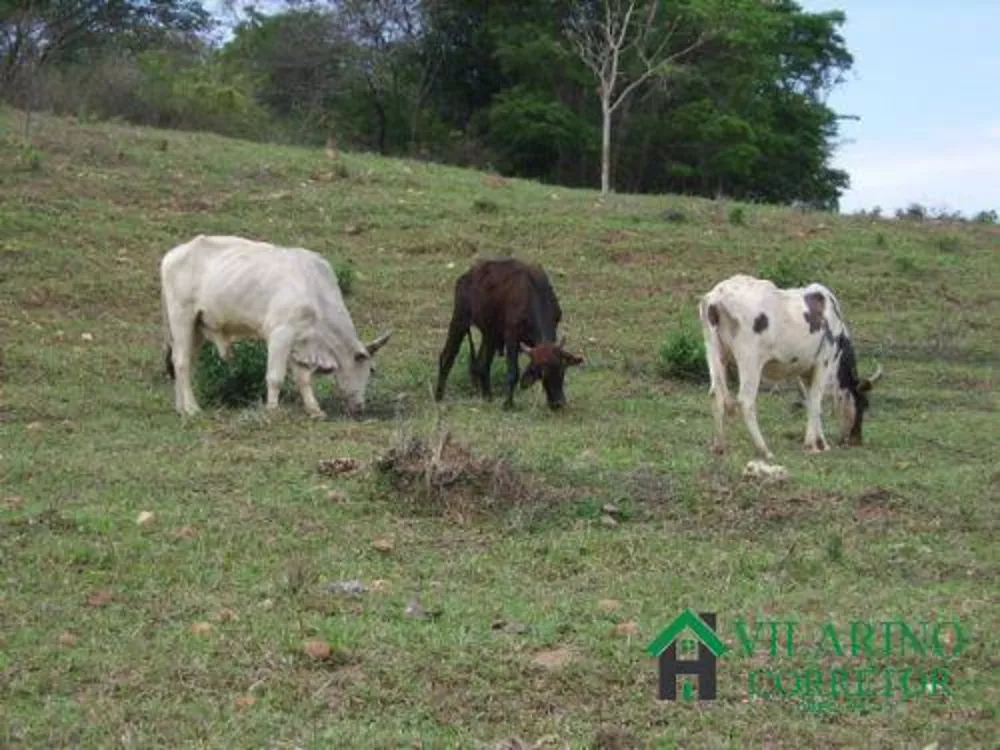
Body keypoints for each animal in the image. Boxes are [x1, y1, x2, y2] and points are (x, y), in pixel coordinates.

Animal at [160, 235, 390, 420]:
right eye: (370, 369)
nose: (360, 407)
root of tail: (172, 255)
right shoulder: (281, 334)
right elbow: (275, 377)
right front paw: (272, 409)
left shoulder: (299, 341)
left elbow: (303, 378)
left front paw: (314, 410)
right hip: (182, 318)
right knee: (181, 362)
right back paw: (192, 408)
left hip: (197, 328)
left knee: (184, 362)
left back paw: (181, 408)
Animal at [434, 258, 584, 412]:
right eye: (542, 374)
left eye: (562, 371)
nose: (558, 403)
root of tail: (466, 276)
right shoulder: (512, 337)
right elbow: (513, 373)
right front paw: (508, 404)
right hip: (460, 319)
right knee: (447, 356)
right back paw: (439, 395)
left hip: (490, 334)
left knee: (481, 365)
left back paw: (487, 396)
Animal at [696, 276, 884, 462]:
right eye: (863, 403)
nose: (856, 440)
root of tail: (717, 297)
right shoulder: (823, 362)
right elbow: (816, 401)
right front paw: (812, 446)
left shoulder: (804, 370)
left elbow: (810, 402)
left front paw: (821, 442)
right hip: (750, 359)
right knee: (745, 400)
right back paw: (764, 450)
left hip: (714, 352)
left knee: (716, 394)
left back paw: (719, 447)